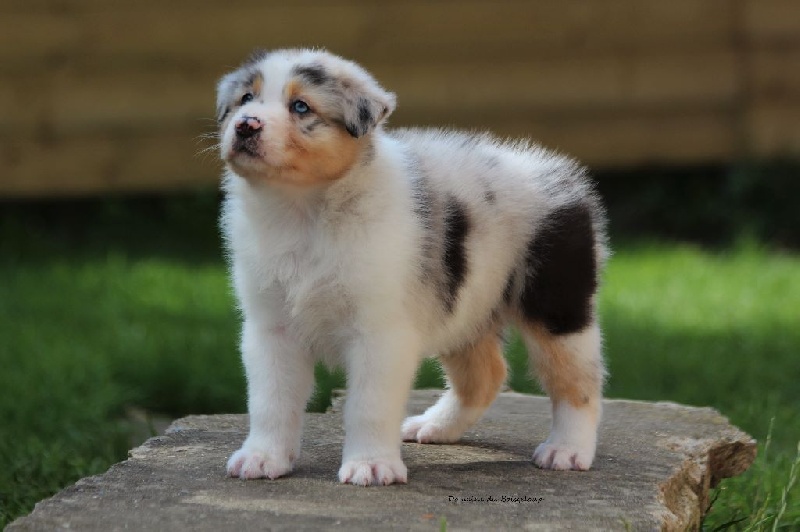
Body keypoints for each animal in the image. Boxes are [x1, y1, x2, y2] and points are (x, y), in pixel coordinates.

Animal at [216, 48, 608, 486]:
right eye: (245, 99)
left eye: (300, 106)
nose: (245, 125)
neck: (302, 210)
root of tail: (559, 173)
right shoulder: (271, 327)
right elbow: (270, 399)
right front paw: (263, 457)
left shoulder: (380, 331)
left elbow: (368, 405)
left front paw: (371, 465)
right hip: (466, 306)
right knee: (486, 376)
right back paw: (435, 426)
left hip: (558, 304)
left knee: (580, 383)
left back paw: (567, 450)